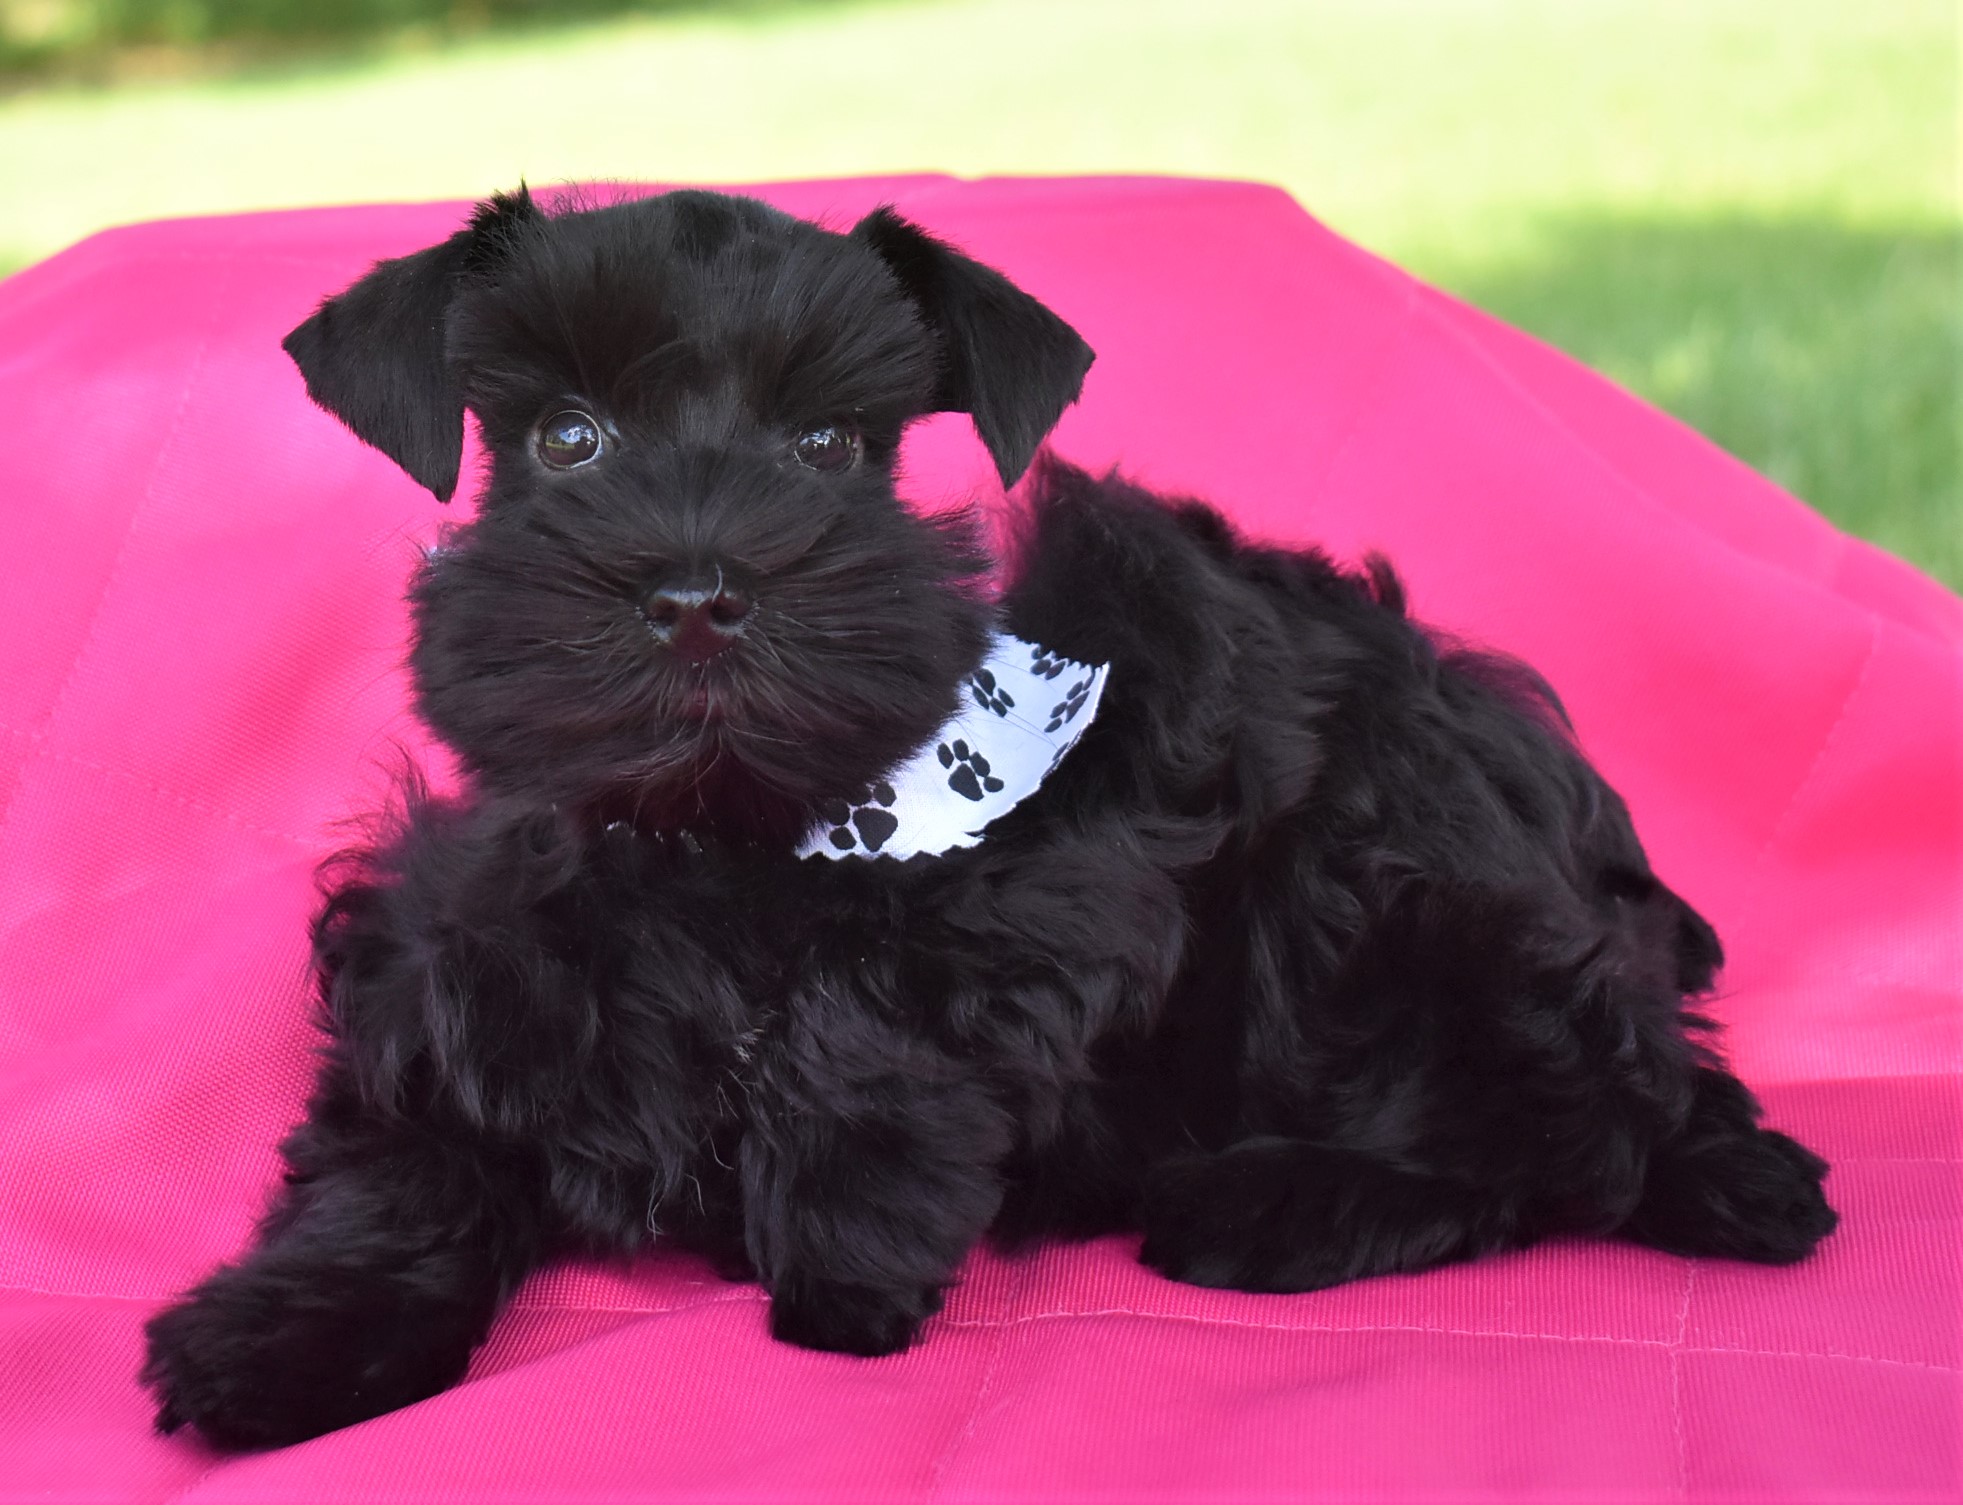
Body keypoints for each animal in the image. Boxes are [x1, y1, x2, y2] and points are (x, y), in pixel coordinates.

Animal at [142, 185, 1837, 1444]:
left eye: (830, 446)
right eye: (564, 438)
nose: (697, 592)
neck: (708, 839)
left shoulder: (1065, 871)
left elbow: (885, 1016)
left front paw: (841, 1245)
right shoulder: (439, 967)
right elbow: (396, 1164)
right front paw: (277, 1335)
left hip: (1403, 876)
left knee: (1587, 1131)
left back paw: (1278, 1202)